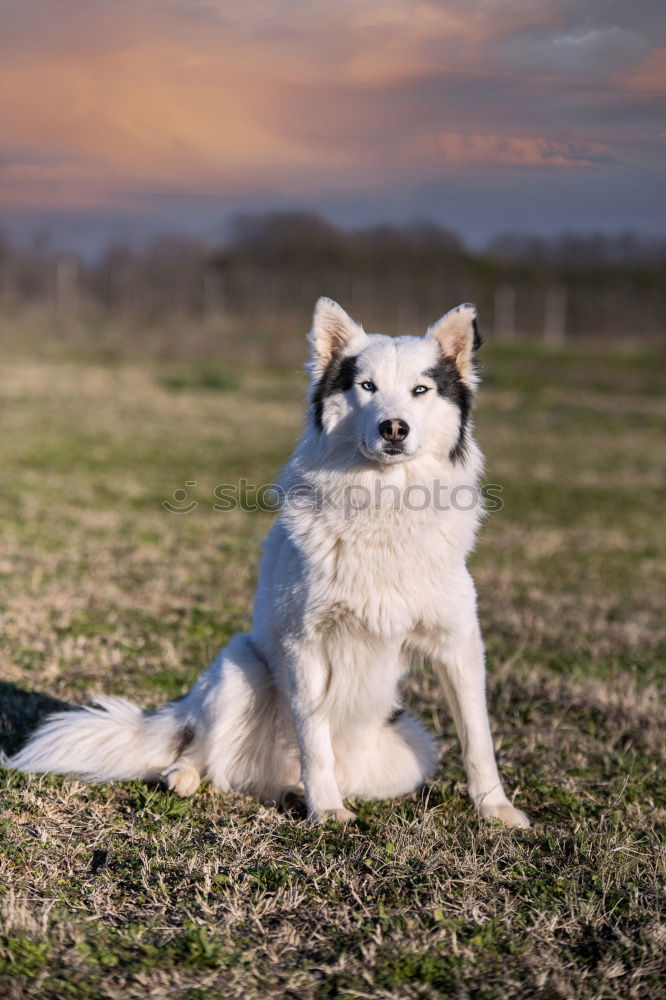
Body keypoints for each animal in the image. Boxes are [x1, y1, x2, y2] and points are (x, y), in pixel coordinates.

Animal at [10, 300, 528, 832]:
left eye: (421, 390)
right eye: (366, 387)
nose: (394, 428)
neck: (383, 502)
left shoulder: (459, 644)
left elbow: (477, 737)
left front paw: (496, 809)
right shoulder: (305, 645)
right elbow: (314, 739)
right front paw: (328, 810)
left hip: (413, 749)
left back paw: (292, 793)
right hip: (241, 667)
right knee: (203, 753)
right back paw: (188, 778)